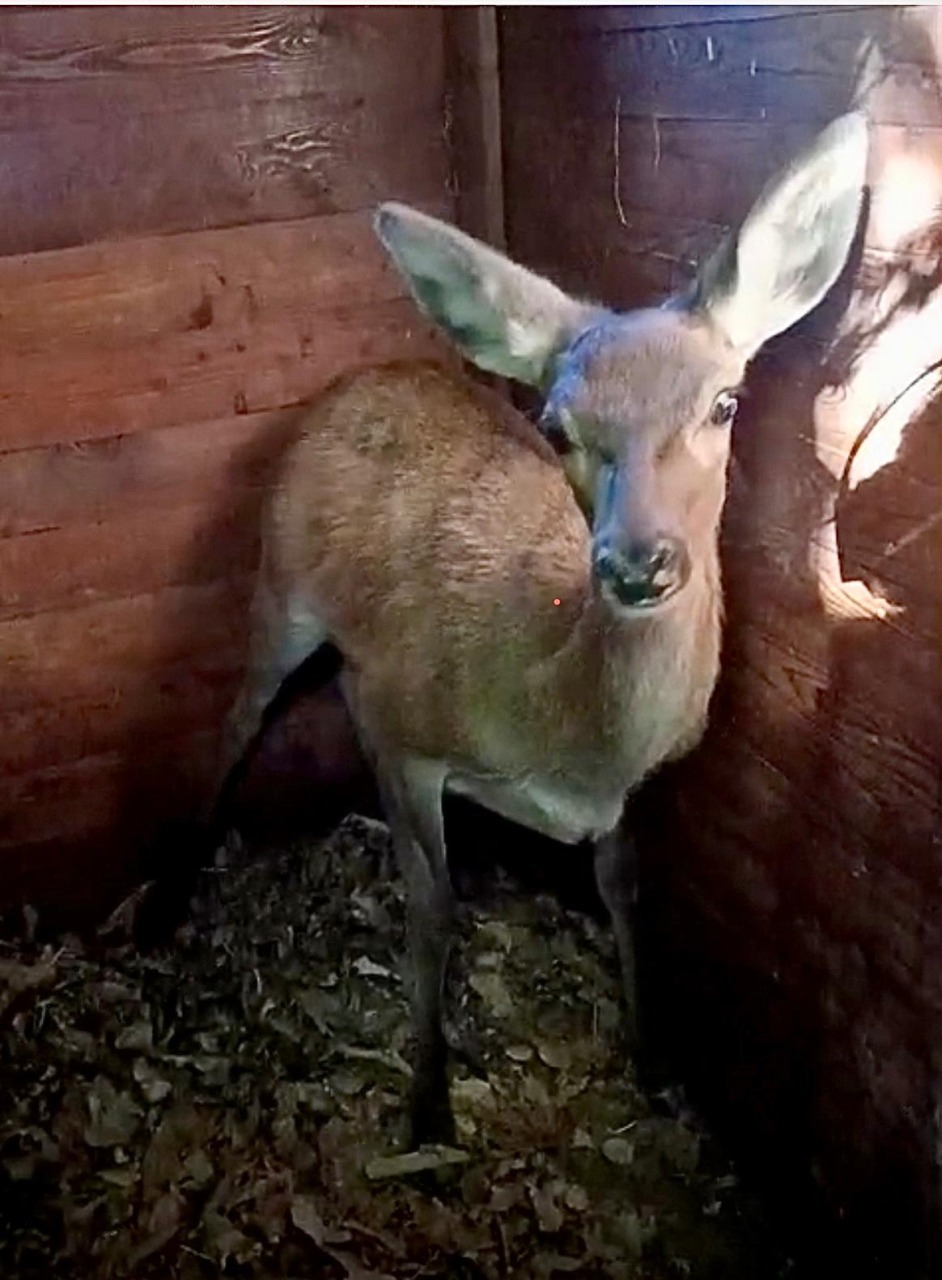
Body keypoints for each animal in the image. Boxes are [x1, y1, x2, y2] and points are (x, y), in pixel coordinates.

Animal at [194, 114, 867, 1147]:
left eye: (724, 402)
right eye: (556, 427)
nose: (637, 562)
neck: (567, 734)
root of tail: (365, 374)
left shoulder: (635, 791)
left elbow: (625, 884)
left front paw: (649, 1053)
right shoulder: (394, 720)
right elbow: (431, 905)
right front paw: (428, 1104)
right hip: (283, 585)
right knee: (236, 717)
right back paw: (163, 901)